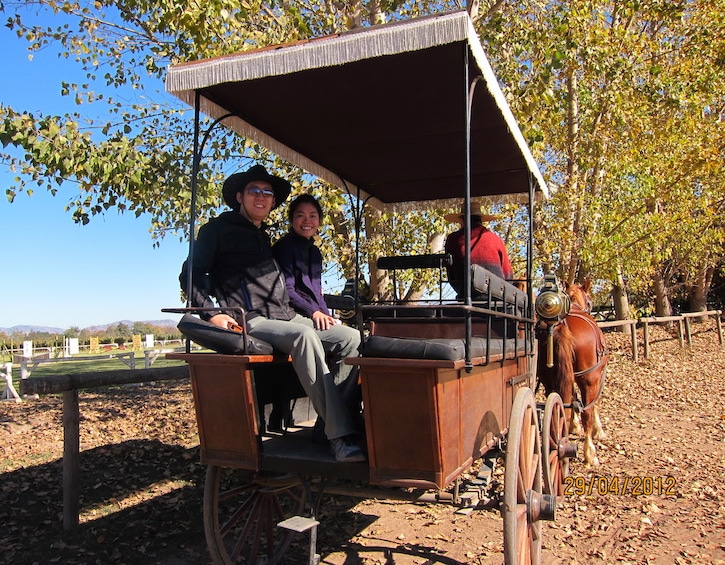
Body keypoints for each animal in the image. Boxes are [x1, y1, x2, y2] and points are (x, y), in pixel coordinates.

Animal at [536, 278, 608, 468]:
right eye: (590, 301)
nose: (590, 306)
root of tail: (561, 325)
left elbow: (573, 398)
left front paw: (573, 426)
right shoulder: (595, 377)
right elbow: (595, 403)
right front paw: (598, 430)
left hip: (549, 379)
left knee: (561, 403)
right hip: (589, 378)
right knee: (587, 411)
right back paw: (590, 453)